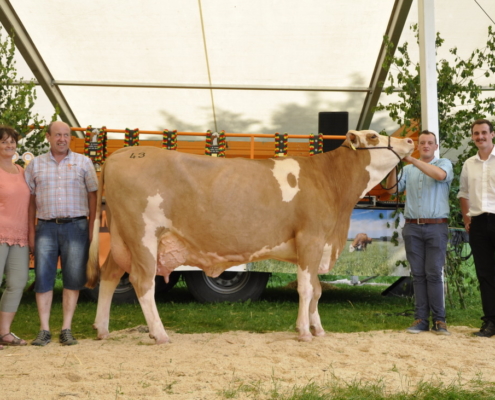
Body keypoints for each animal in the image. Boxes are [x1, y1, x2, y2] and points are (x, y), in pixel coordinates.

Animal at [86, 130, 414, 344]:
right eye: (373, 137)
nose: (410, 140)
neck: (330, 183)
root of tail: (122, 154)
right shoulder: (310, 238)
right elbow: (307, 290)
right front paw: (304, 332)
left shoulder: (318, 243)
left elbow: (317, 290)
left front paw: (318, 330)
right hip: (143, 236)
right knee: (142, 282)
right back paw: (160, 333)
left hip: (121, 237)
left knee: (110, 273)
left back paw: (102, 329)